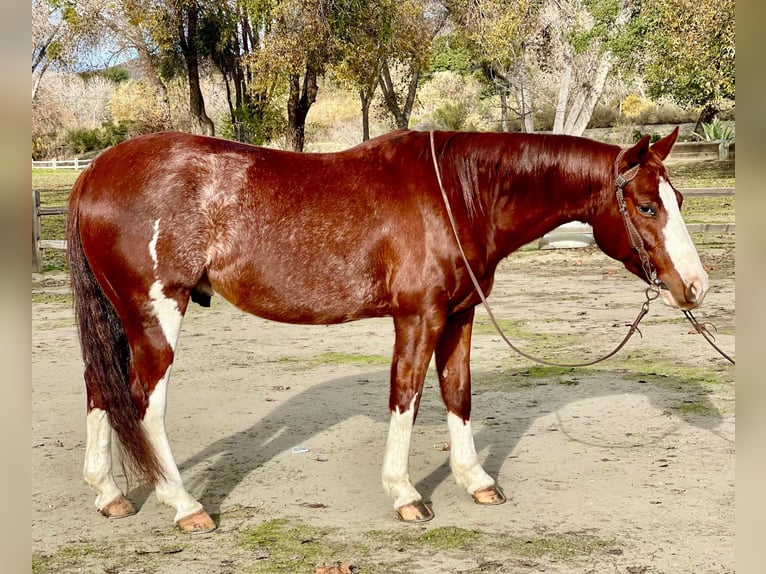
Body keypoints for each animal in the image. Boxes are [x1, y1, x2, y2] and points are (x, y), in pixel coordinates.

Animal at [66, 128, 708, 532]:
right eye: (647, 207)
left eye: (679, 196)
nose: (696, 287)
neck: (458, 195)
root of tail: (93, 172)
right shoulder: (418, 317)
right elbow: (408, 396)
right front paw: (405, 494)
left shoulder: (459, 316)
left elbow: (457, 394)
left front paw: (476, 481)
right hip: (156, 313)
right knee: (144, 402)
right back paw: (184, 505)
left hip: (119, 317)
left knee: (99, 388)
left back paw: (110, 495)